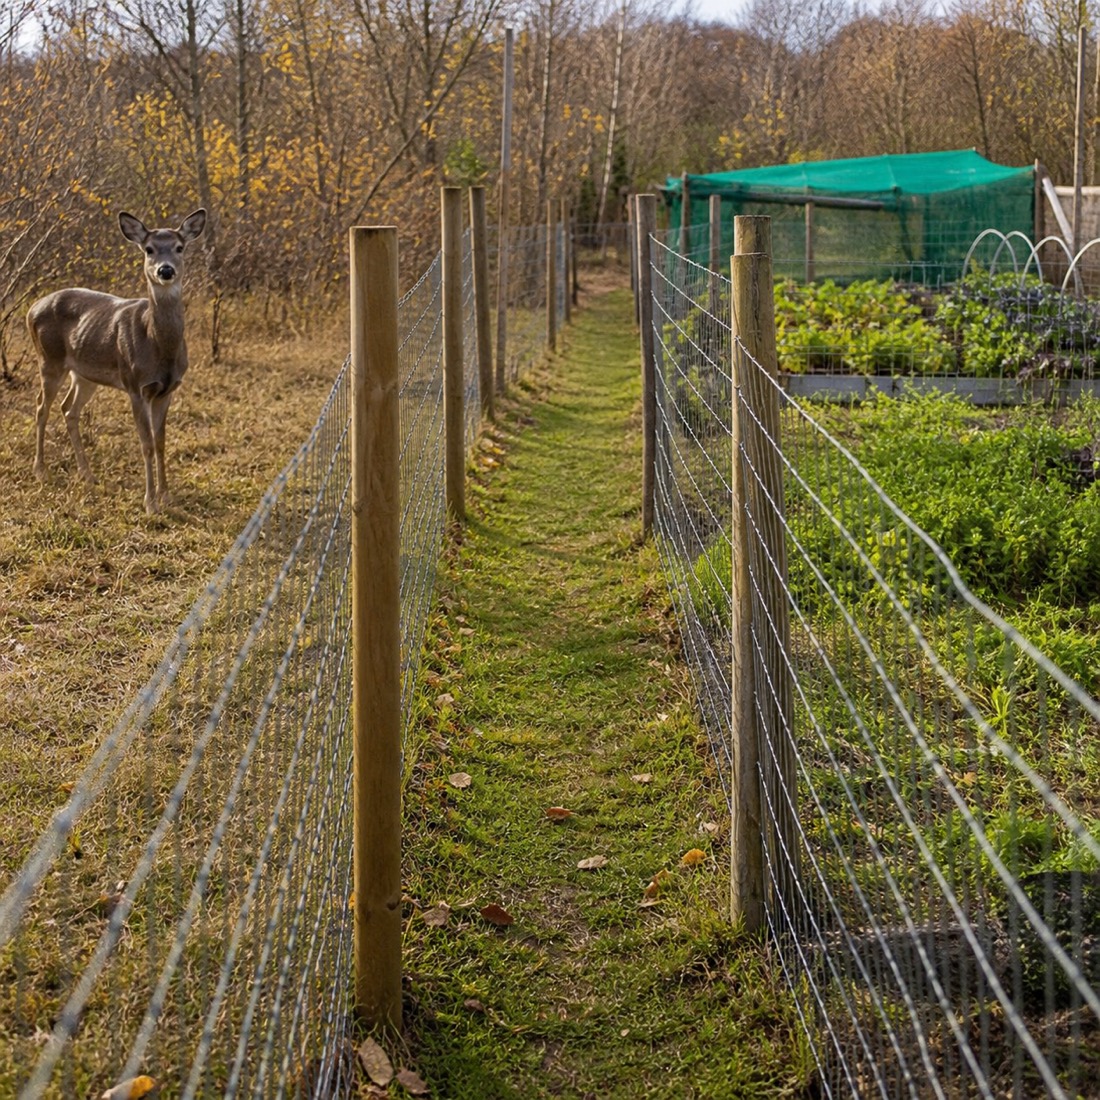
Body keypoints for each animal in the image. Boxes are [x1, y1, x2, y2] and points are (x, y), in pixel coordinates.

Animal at [28, 208, 207, 514]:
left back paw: (88, 474)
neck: (158, 345)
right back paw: (41, 471)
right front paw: (150, 503)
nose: (165, 270)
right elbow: (146, 444)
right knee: (42, 407)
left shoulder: (168, 390)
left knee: (68, 409)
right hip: (49, 360)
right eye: (149, 249)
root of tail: (31, 309)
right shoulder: (136, 385)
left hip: (84, 374)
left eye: (179, 247)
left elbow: (161, 442)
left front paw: (167, 496)